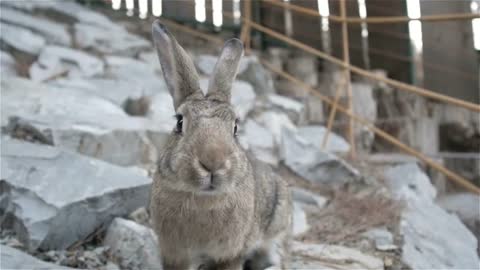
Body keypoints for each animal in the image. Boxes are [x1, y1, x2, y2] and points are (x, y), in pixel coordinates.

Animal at [149, 19, 292, 270]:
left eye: (235, 127)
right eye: (179, 122)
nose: (213, 161)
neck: (202, 199)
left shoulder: (230, 255)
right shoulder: (174, 254)